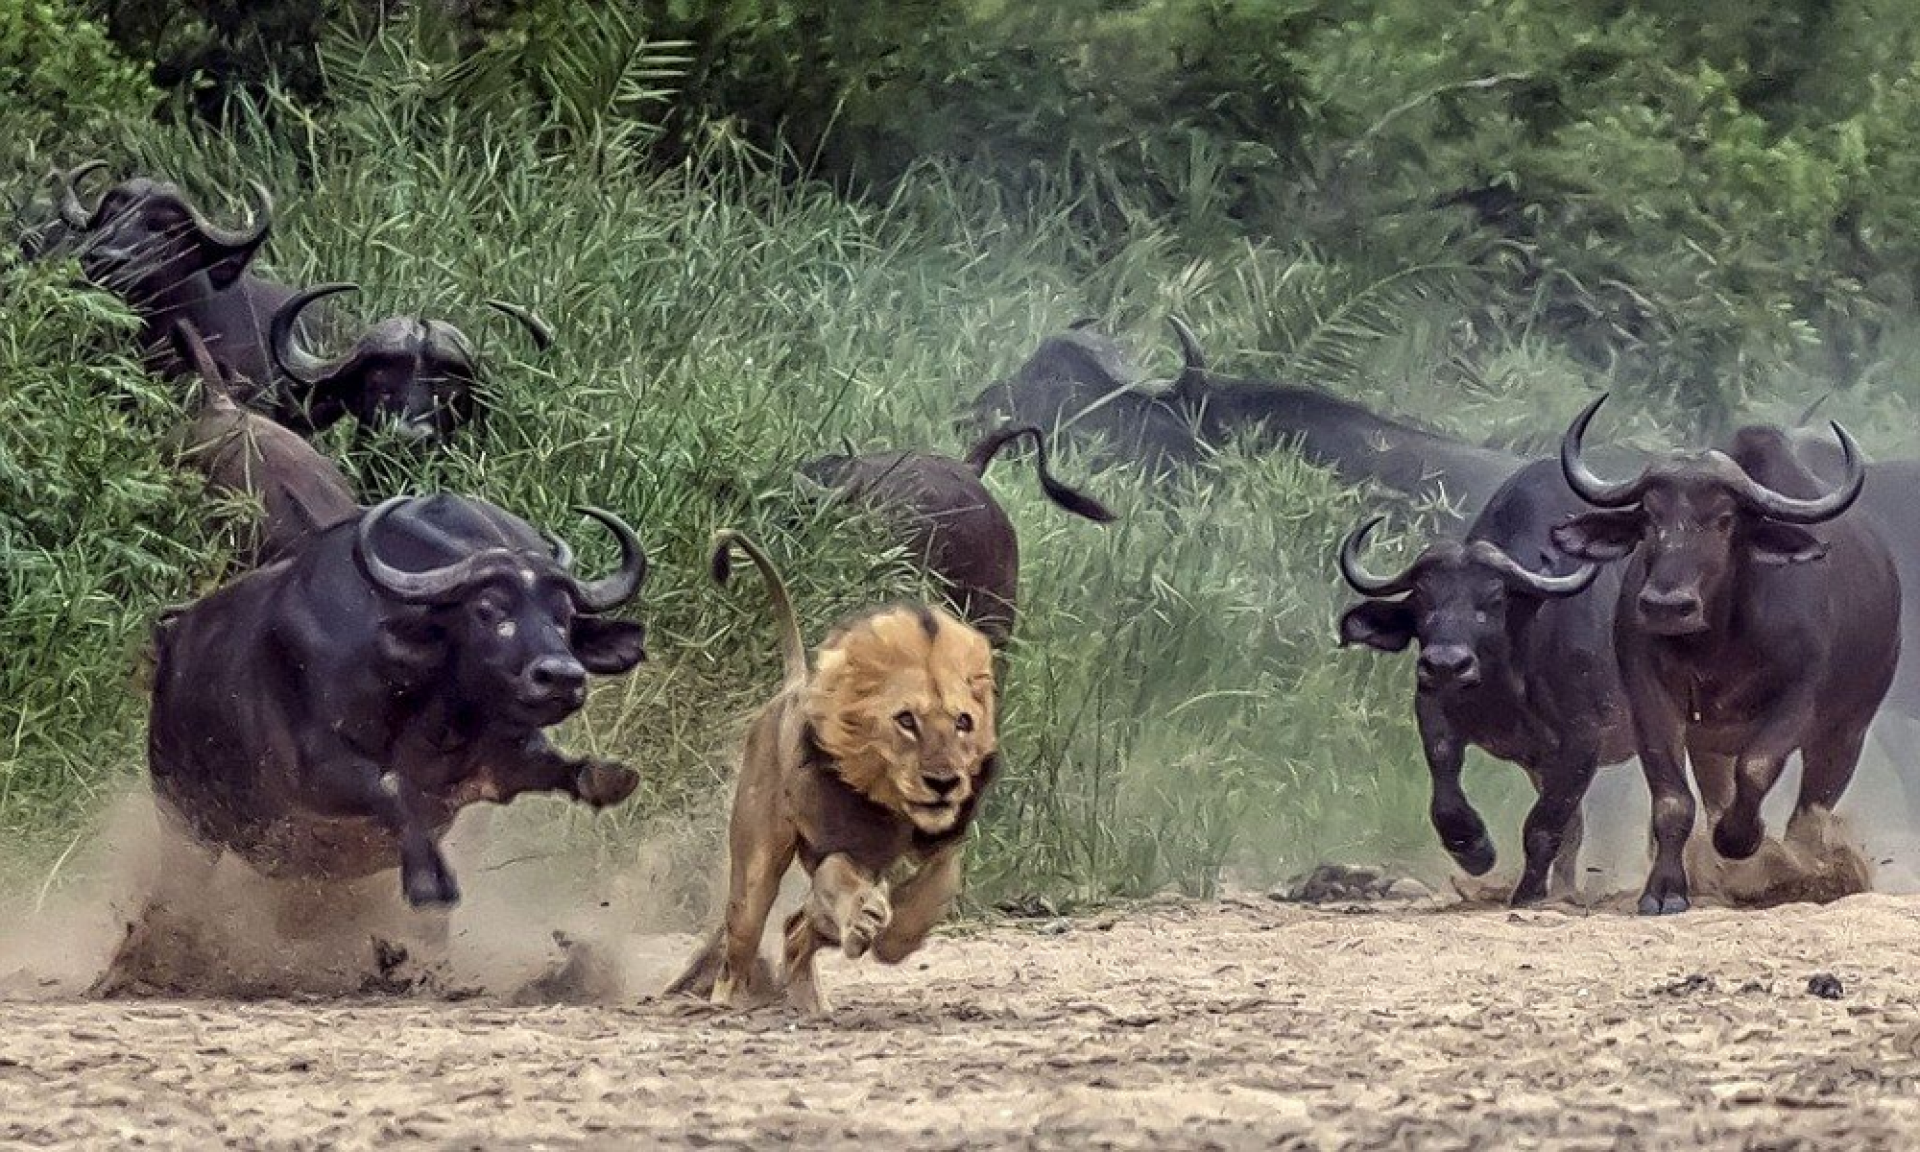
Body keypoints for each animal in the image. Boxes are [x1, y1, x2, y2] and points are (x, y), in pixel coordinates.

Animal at [667, 530, 999, 1015]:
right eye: (906, 721)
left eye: (963, 722)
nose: (943, 783)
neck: (895, 810)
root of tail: (792, 686)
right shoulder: (837, 846)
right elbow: (839, 879)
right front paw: (866, 918)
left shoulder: (942, 844)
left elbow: (939, 884)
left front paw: (894, 934)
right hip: (755, 872)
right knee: (740, 947)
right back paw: (726, 1004)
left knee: (793, 928)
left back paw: (813, 1002)